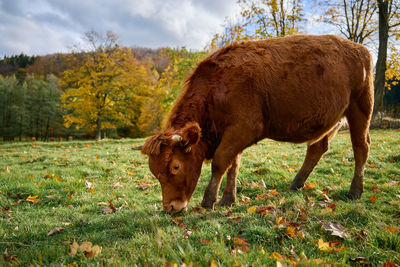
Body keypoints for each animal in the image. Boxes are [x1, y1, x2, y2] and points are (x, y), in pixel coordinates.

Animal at [138, 34, 376, 214]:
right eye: (154, 172)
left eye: (176, 166)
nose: (171, 207)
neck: (218, 87)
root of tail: (359, 48)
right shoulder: (232, 134)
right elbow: (233, 165)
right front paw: (227, 199)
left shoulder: (243, 129)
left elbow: (220, 162)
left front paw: (208, 201)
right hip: (331, 120)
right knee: (317, 148)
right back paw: (295, 185)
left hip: (360, 109)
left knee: (360, 147)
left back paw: (355, 191)